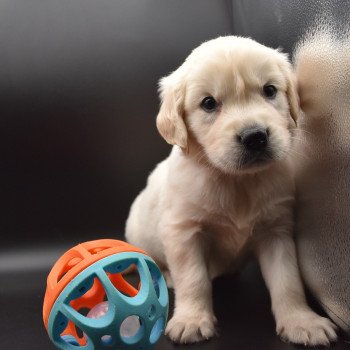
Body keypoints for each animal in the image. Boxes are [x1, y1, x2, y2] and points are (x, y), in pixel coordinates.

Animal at [125, 35, 336, 344]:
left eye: (269, 90)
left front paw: (301, 321)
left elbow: (288, 281)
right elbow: (194, 279)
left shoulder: (276, 231)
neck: (237, 181)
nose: (255, 137)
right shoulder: (183, 232)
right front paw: (191, 320)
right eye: (209, 103)